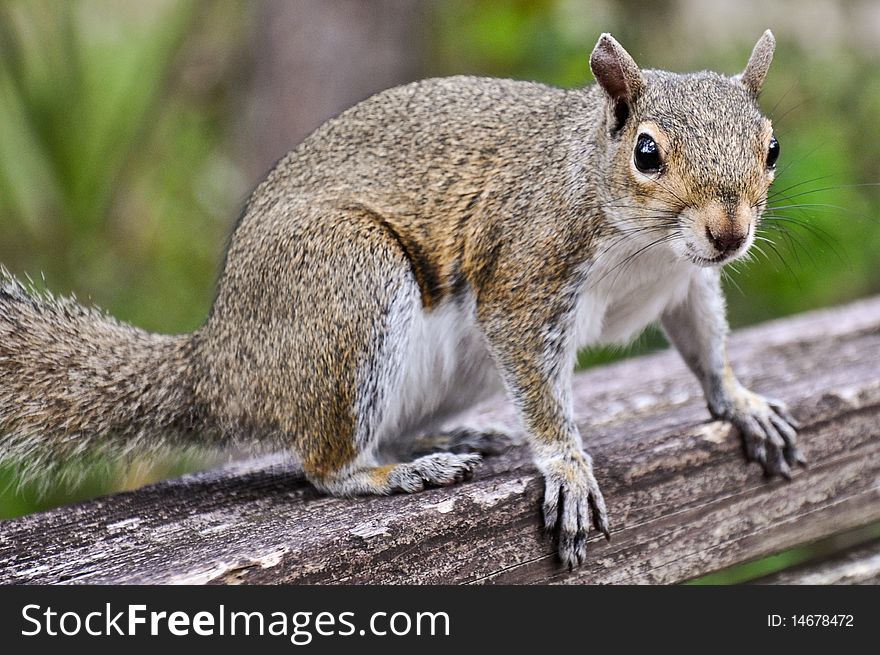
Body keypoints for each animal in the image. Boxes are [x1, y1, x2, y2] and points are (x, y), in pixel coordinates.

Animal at [0, 32, 800, 568]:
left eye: (771, 148)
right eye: (646, 152)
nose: (729, 232)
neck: (647, 247)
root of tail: (223, 361)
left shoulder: (686, 283)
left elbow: (705, 344)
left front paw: (742, 402)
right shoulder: (528, 275)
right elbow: (540, 385)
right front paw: (568, 469)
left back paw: (446, 442)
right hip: (348, 284)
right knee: (324, 465)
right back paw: (394, 473)